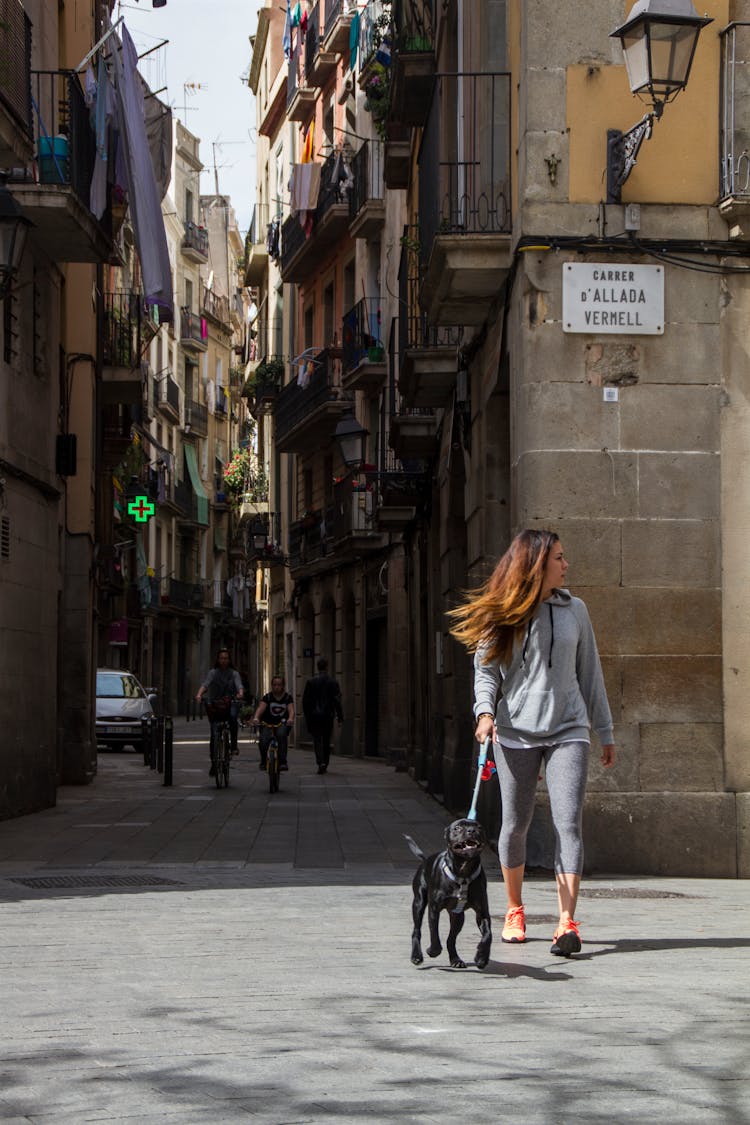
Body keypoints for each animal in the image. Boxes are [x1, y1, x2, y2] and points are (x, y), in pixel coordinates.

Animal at [404, 819, 492, 967]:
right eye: (457, 828)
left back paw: (456, 959)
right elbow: (434, 933)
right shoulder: (434, 909)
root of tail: (425, 860)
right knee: (416, 930)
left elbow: (488, 935)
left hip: (458, 917)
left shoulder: (482, 913)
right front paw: (433, 951)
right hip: (418, 903)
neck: (463, 872)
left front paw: (481, 957)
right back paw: (416, 956)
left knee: (451, 939)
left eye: (479, 827)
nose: (471, 830)